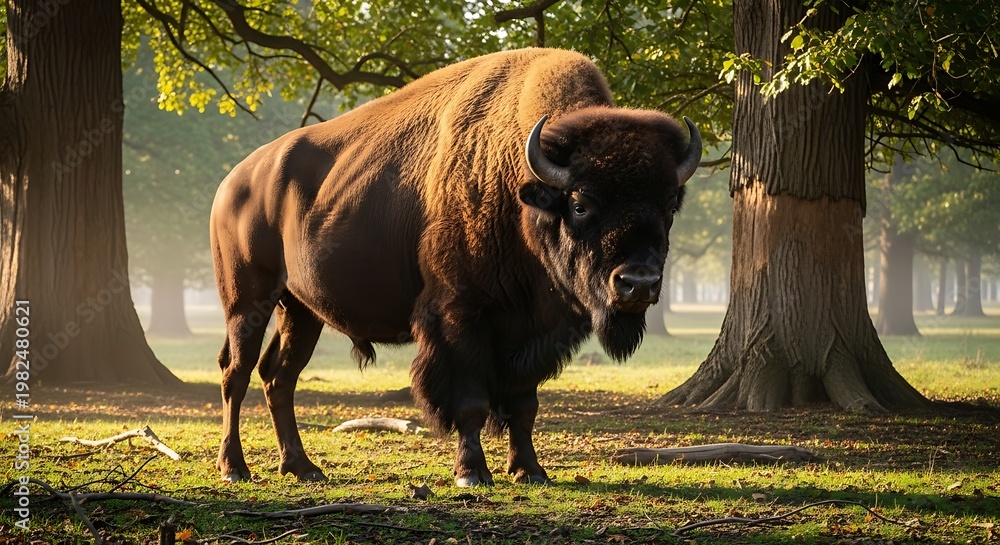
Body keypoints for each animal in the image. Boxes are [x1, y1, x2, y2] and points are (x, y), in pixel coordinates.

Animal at [210, 48, 701, 486]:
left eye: (669, 205)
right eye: (580, 204)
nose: (639, 283)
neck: (521, 186)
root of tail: (233, 182)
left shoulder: (534, 331)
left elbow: (524, 405)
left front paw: (530, 471)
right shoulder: (460, 315)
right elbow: (471, 401)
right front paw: (472, 473)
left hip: (301, 310)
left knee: (279, 376)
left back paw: (302, 467)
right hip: (246, 301)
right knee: (236, 373)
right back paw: (235, 468)